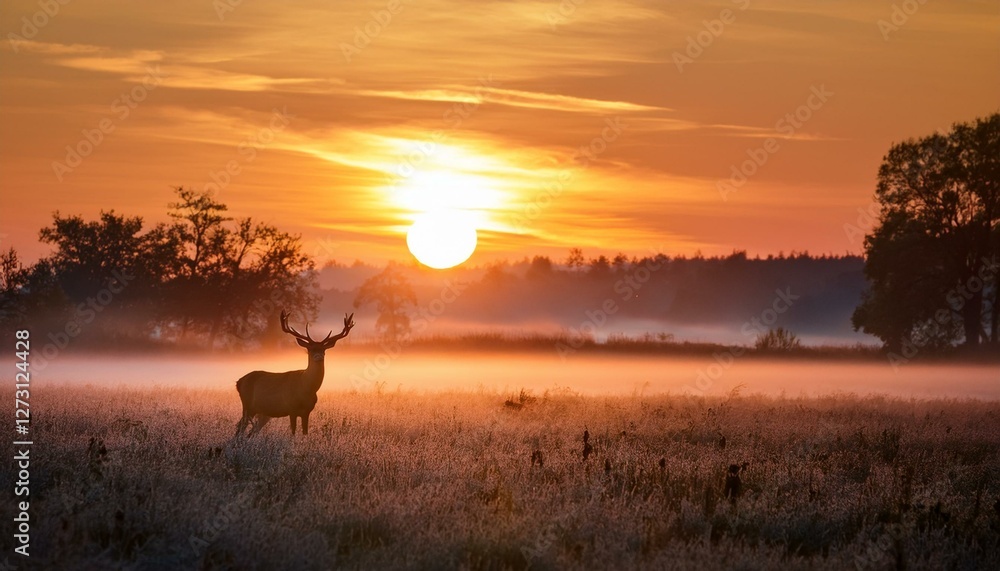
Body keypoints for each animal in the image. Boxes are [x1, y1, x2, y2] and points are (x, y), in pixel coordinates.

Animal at [234, 310, 355, 438]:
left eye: (324, 350)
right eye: (310, 349)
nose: (319, 356)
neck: (306, 388)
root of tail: (239, 382)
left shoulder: (307, 411)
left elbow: (305, 432)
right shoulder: (291, 408)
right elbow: (293, 432)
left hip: (264, 413)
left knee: (251, 431)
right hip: (247, 405)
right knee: (240, 428)